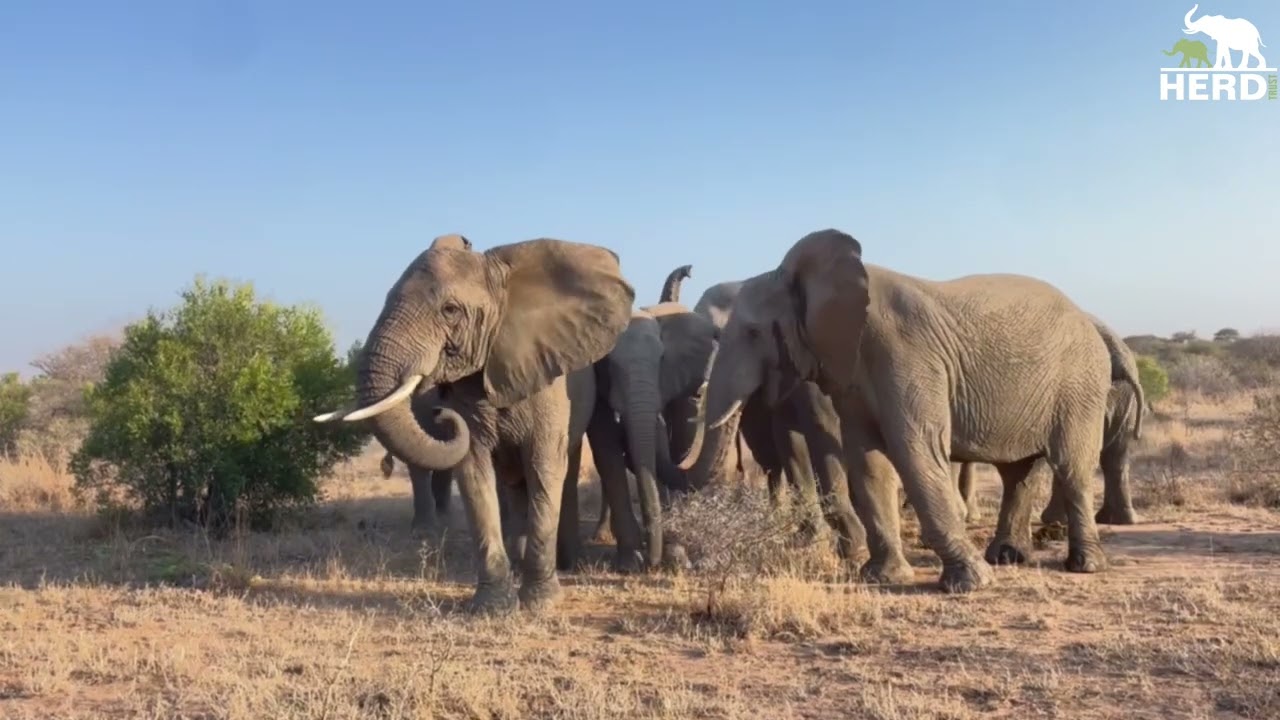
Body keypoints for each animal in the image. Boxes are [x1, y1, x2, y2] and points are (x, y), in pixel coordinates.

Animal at [314, 233, 634, 614]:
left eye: (450, 310)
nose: (443, 413)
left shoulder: (549, 385)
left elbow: (543, 464)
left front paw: (540, 604)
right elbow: (473, 469)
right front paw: (492, 607)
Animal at [700, 229, 1129, 594]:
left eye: (753, 332)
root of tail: (1091, 322)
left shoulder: (907, 356)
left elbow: (915, 452)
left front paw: (970, 583)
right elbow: (868, 462)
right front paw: (881, 577)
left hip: (1080, 387)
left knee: (1071, 467)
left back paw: (1084, 566)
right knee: (1017, 473)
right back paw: (1007, 558)